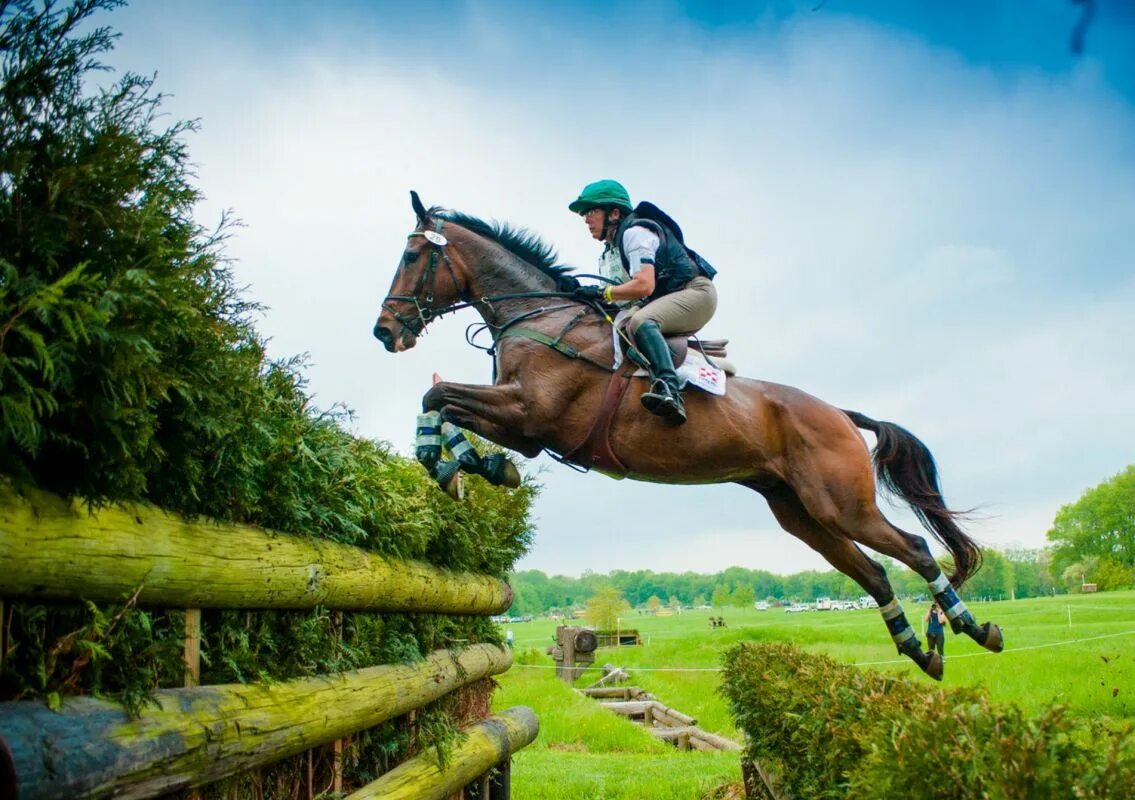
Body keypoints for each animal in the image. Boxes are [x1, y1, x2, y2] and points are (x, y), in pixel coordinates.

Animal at [374, 190, 1003, 676]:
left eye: (411, 254)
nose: (384, 331)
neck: (541, 317)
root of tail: (841, 415)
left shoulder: (529, 415)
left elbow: (437, 398)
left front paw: (457, 464)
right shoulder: (522, 424)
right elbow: (438, 403)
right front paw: (462, 465)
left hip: (841, 503)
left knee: (916, 549)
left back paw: (974, 629)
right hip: (800, 513)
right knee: (873, 573)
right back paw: (920, 651)